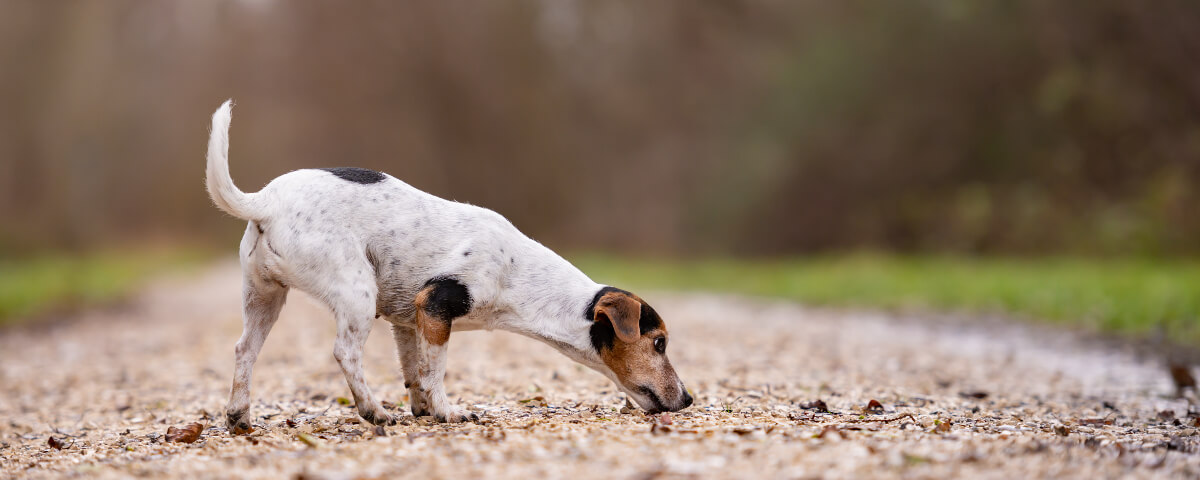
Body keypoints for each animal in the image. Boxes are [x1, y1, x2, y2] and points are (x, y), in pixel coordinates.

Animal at [204, 100, 696, 432]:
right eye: (658, 343)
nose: (690, 398)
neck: (519, 274)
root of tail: (266, 201)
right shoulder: (438, 306)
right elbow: (435, 371)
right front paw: (447, 411)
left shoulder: (407, 321)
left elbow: (414, 372)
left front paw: (423, 409)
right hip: (355, 291)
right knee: (345, 353)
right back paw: (373, 411)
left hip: (264, 298)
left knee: (244, 350)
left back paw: (239, 416)